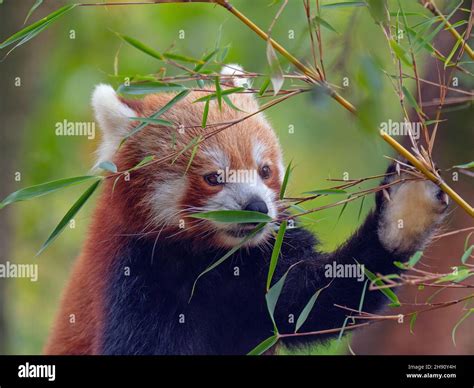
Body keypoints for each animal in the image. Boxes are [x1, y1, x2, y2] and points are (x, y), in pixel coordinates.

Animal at [44, 63, 448, 354]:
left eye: (264, 170)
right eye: (213, 177)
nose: (256, 206)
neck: (214, 261)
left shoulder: (264, 264)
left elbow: (315, 302)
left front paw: (405, 212)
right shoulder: (132, 277)